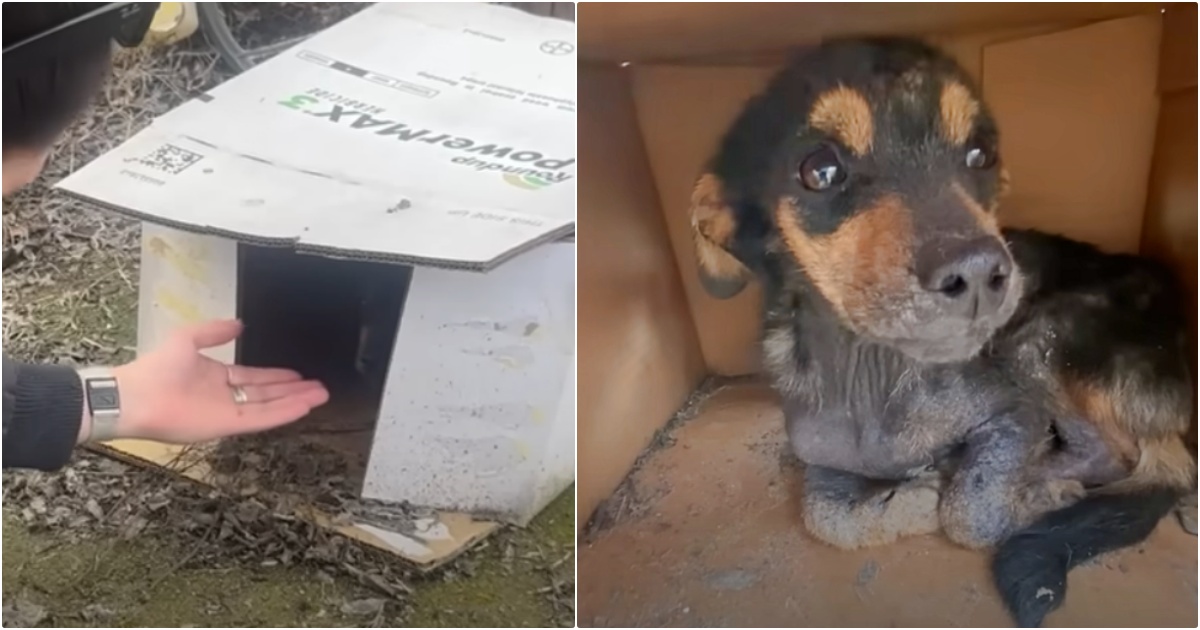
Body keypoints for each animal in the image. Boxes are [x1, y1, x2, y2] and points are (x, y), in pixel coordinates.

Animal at [691, 36, 1195, 624]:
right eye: (819, 169)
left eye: (981, 153)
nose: (979, 272)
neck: (875, 374)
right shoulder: (821, 463)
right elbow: (827, 519)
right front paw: (909, 495)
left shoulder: (1014, 412)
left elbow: (968, 513)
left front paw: (1001, 495)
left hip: (1039, 337)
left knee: (1113, 456)